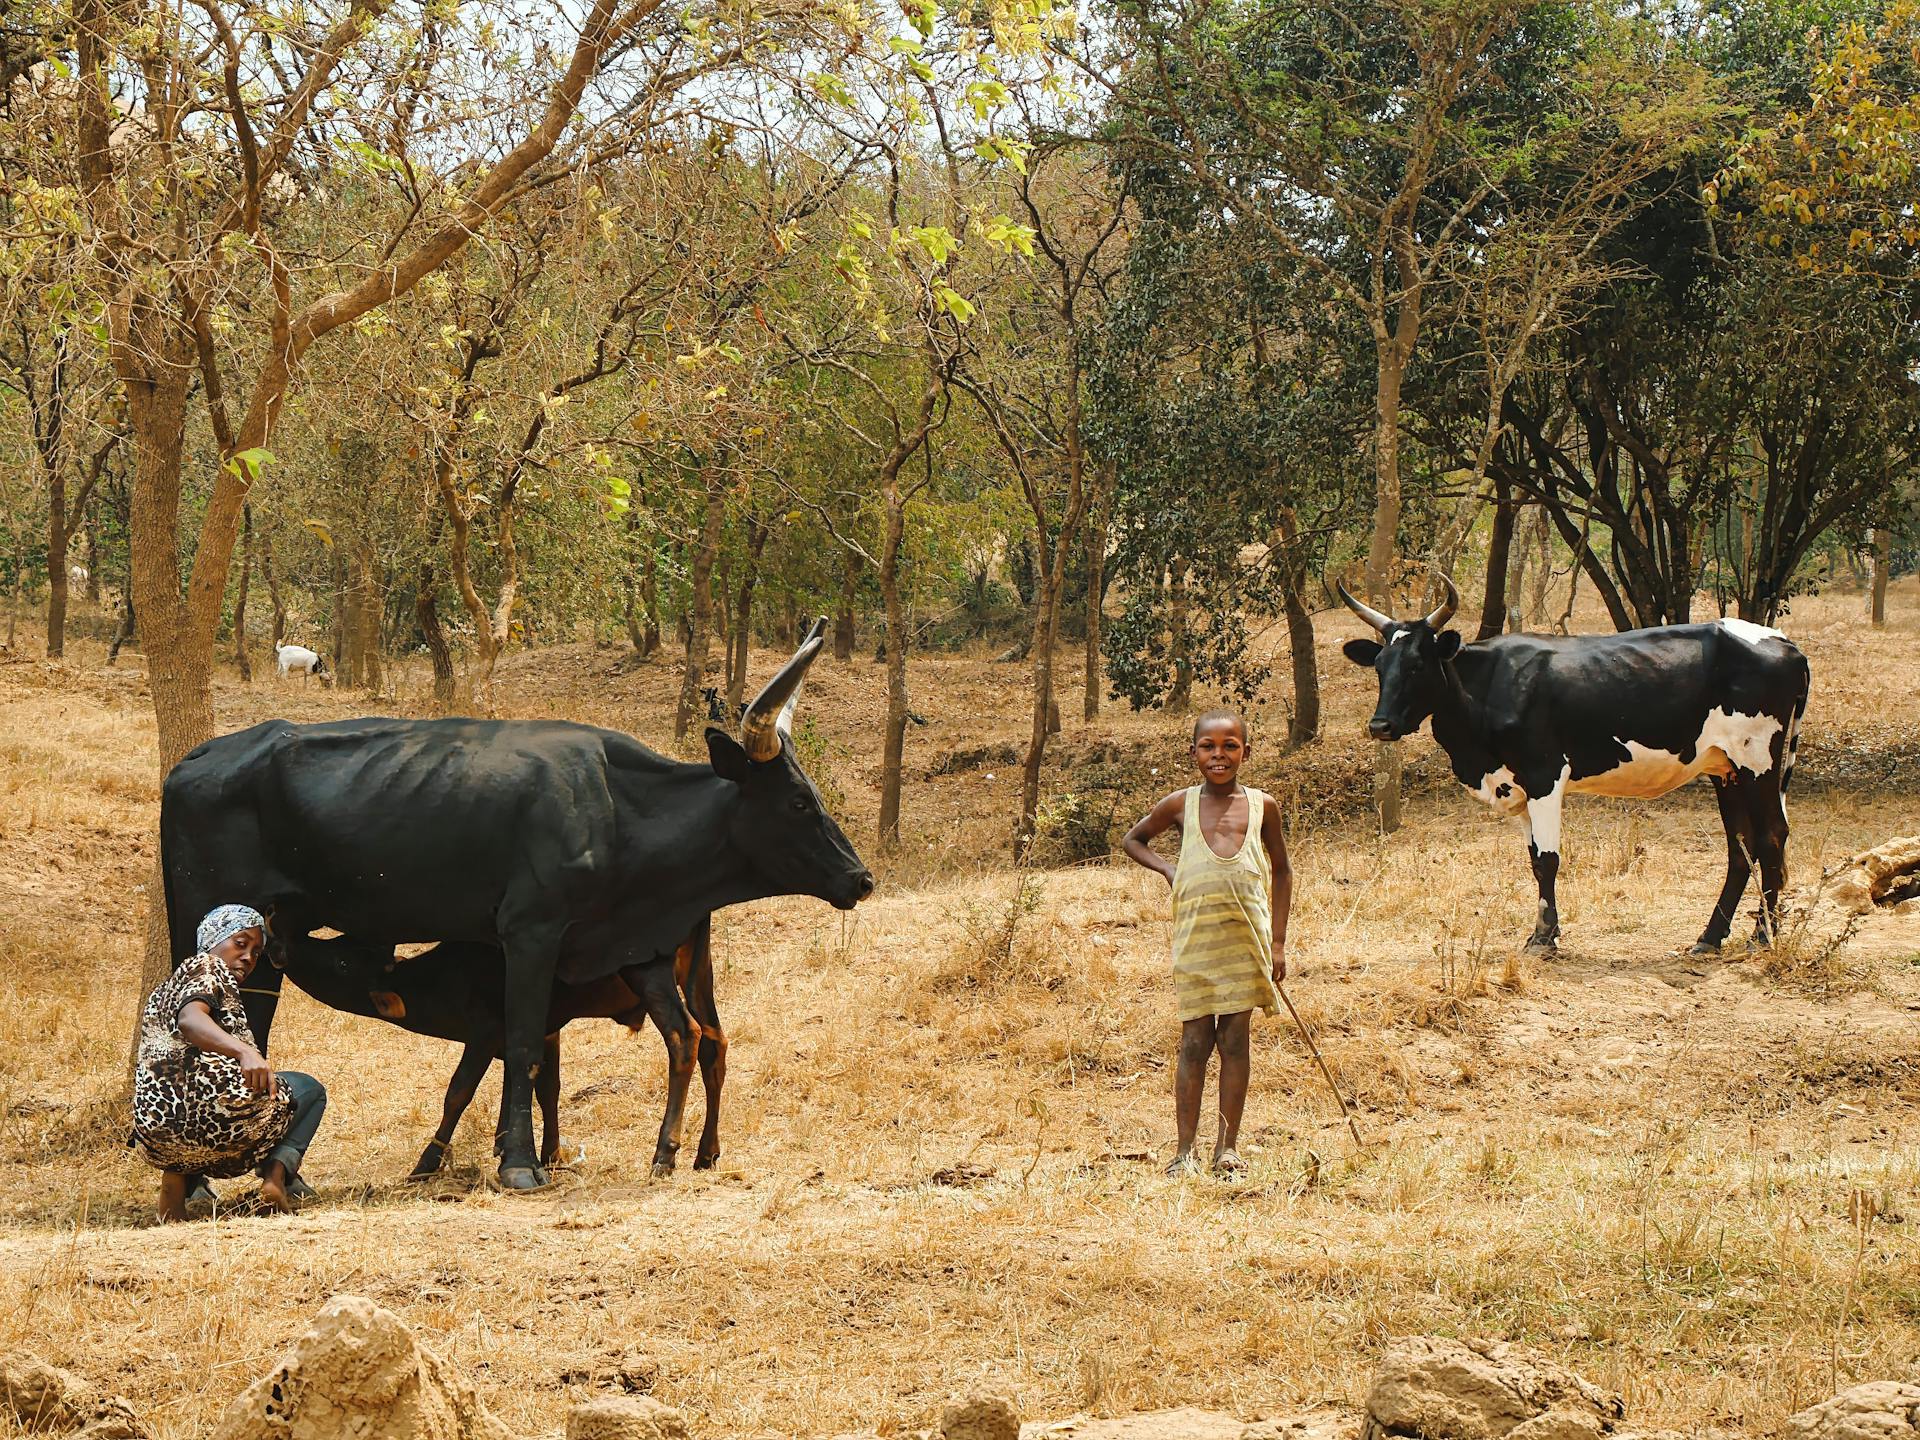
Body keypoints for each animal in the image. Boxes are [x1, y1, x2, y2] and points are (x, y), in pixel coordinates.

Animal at [161, 614, 867, 1190]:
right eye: (798, 802)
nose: (860, 879)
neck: (618, 808)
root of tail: (195, 760)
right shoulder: (531, 935)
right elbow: (524, 1048)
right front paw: (521, 1163)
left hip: (267, 942)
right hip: (199, 922)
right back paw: (195, 1186)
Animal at [1344, 576, 1804, 960]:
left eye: (1417, 665)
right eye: (1380, 667)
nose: (1380, 725)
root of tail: (1783, 642)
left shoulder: (1544, 776)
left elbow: (1548, 860)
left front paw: (1543, 938)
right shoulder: (1518, 785)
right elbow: (1533, 859)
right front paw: (1545, 931)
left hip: (1758, 762)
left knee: (1771, 837)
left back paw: (1762, 935)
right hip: (1726, 769)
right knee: (1740, 848)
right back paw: (1710, 937)